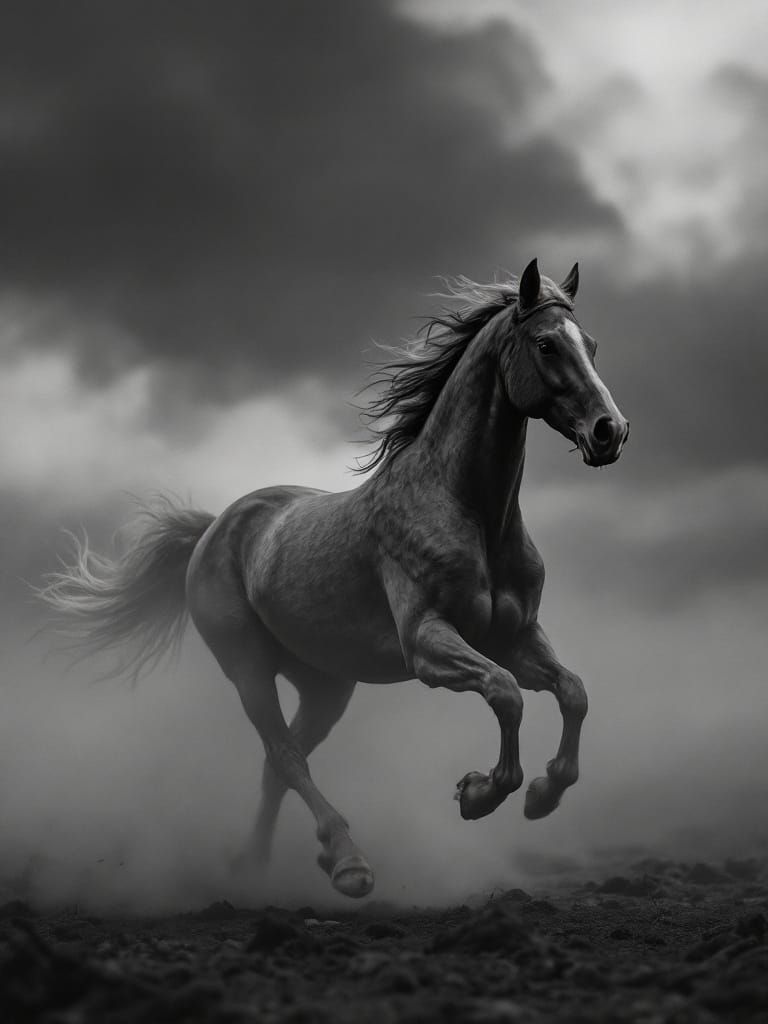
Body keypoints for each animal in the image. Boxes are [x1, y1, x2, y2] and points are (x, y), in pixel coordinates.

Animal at [39, 259, 629, 899]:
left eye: (592, 344)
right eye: (547, 344)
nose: (610, 431)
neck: (468, 511)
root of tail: (214, 528)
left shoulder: (516, 637)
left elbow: (573, 692)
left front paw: (544, 795)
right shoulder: (428, 643)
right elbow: (506, 694)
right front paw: (478, 794)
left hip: (326, 685)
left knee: (279, 764)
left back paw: (258, 865)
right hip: (248, 670)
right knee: (286, 756)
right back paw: (348, 863)